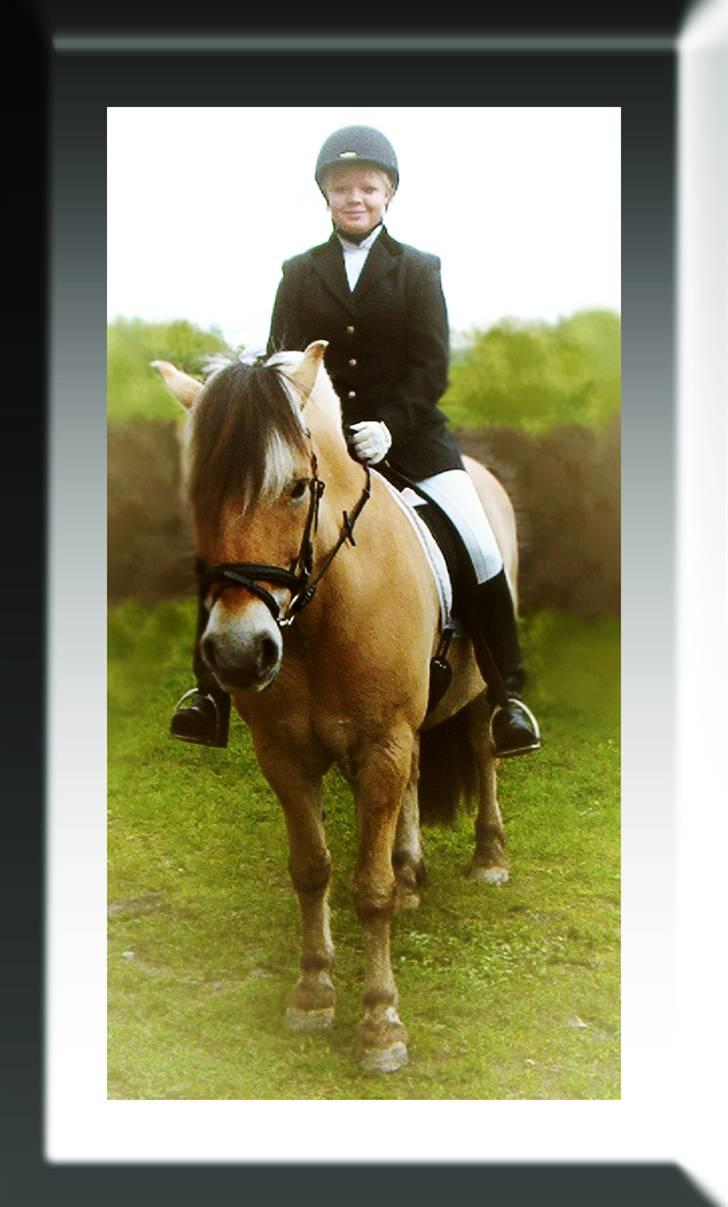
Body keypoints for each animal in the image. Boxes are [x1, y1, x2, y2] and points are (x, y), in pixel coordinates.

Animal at [153, 340, 519, 1073]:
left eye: (297, 486)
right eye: (196, 490)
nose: (240, 653)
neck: (324, 607)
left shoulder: (381, 742)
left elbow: (367, 889)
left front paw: (380, 1025)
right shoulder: (288, 754)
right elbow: (312, 868)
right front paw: (313, 991)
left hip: (474, 697)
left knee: (484, 749)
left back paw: (489, 856)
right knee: (414, 782)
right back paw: (412, 872)